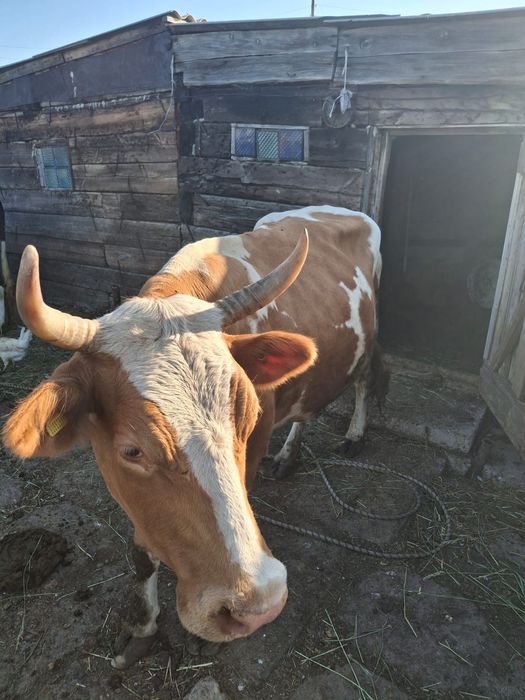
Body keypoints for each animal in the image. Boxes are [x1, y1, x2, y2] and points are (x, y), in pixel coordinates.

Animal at [3, 205, 384, 668]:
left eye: (248, 419)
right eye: (132, 450)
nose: (259, 605)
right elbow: (141, 556)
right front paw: (142, 628)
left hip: (370, 340)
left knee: (364, 380)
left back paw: (354, 434)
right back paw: (288, 456)